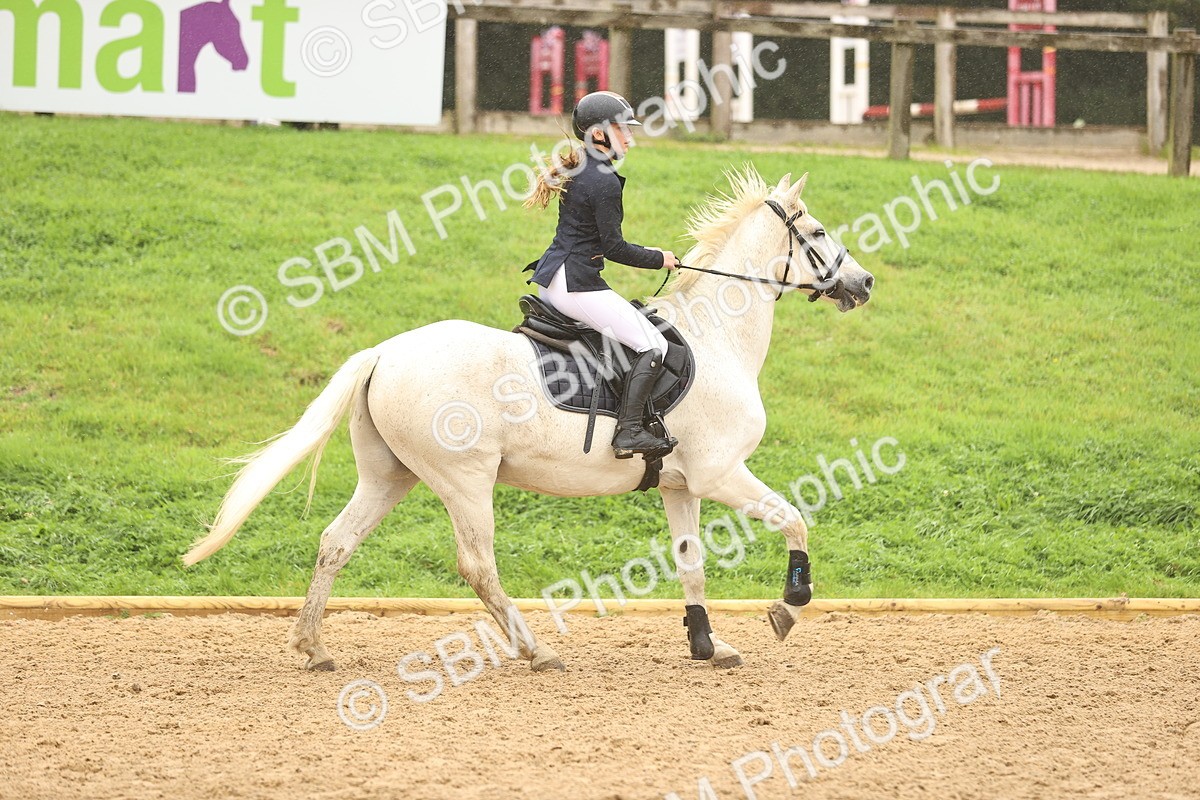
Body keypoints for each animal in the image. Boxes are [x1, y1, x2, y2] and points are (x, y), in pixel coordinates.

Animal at [184, 167, 874, 672]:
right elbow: (795, 518)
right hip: (465, 480)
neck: (719, 339)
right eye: (816, 232)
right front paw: (788, 608)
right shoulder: (721, 473)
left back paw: (314, 648)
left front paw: (707, 646)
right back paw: (537, 650)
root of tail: (384, 352)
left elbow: (691, 561)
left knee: (336, 541)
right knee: (477, 565)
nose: (863, 283)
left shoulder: (681, 485)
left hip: (389, 476)